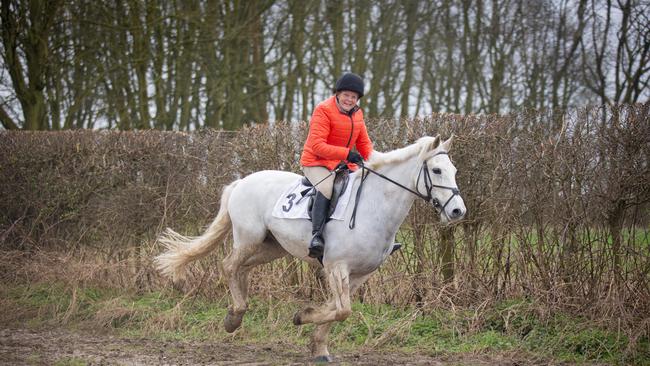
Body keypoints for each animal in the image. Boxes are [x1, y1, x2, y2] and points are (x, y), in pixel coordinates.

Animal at [154, 134, 464, 360]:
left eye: (454, 170)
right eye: (437, 170)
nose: (458, 211)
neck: (374, 207)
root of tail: (242, 181)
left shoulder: (359, 274)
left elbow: (338, 308)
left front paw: (318, 347)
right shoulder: (337, 267)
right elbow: (342, 310)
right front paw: (302, 317)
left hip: (272, 247)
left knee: (242, 268)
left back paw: (236, 312)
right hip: (249, 237)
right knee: (229, 265)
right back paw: (235, 316)